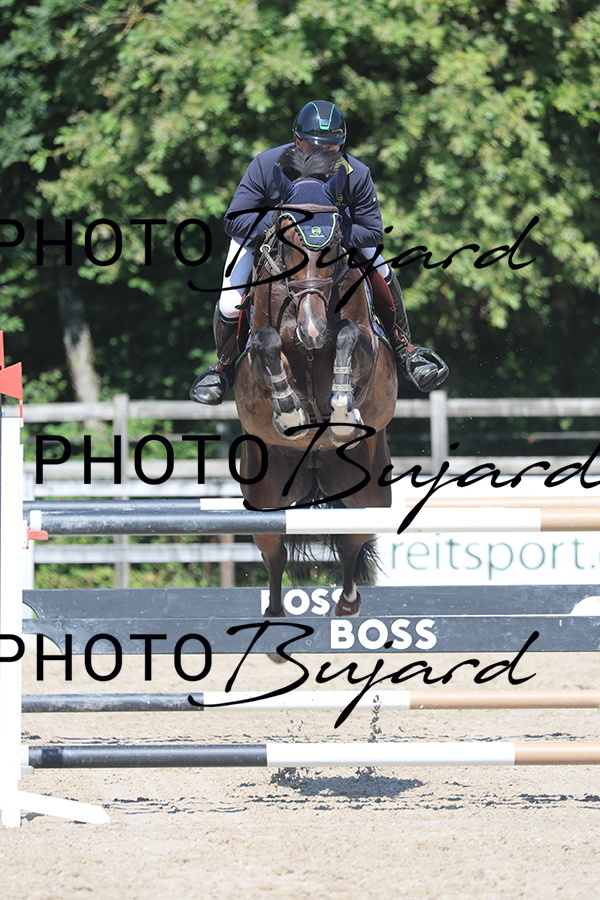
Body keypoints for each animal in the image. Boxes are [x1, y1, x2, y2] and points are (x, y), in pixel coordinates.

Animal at [233, 147, 398, 620]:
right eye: (286, 245)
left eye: (336, 246)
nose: (311, 330)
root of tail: (316, 465)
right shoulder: (256, 359)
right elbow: (267, 344)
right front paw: (290, 412)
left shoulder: (367, 351)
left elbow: (348, 335)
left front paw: (341, 406)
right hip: (266, 493)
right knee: (274, 550)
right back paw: (274, 611)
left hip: (366, 492)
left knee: (351, 543)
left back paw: (346, 604)